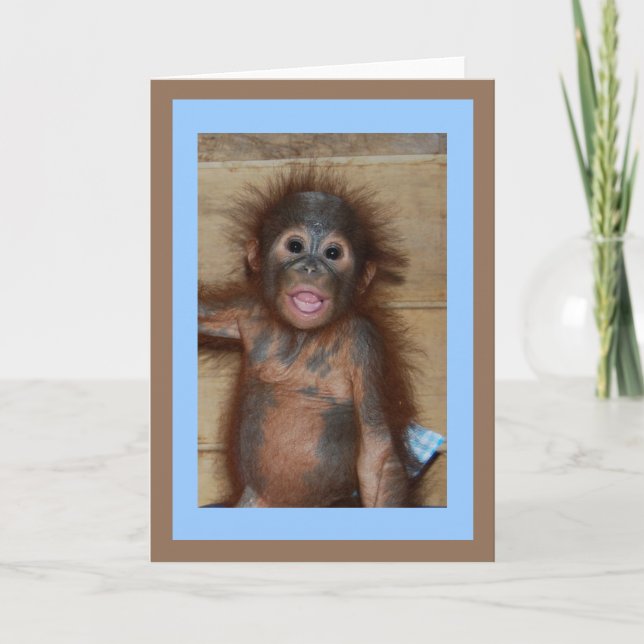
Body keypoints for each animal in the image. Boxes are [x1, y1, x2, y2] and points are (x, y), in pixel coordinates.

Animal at [198, 165, 419, 507]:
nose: (311, 267)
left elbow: (377, 452)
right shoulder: (246, 310)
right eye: (295, 246)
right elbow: (203, 312)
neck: (301, 335)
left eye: (332, 253)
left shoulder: (366, 343)